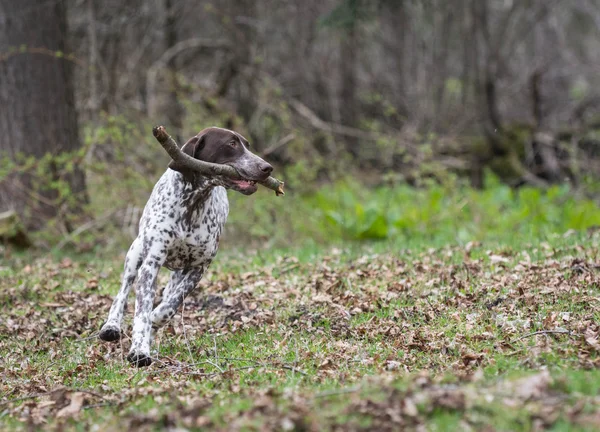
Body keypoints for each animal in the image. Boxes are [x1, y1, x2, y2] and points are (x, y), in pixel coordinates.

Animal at [99, 126, 274, 366]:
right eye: (231, 144)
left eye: (247, 144)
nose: (267, 167)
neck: (192, 203)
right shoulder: (150, 265)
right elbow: (141, 312)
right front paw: (139, 351)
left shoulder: (198, 269)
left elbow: (169, 306)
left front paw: (155, 322)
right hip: (135, 254)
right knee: (122, 292)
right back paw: (112, 326)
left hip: (176, 271)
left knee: (167, 295)